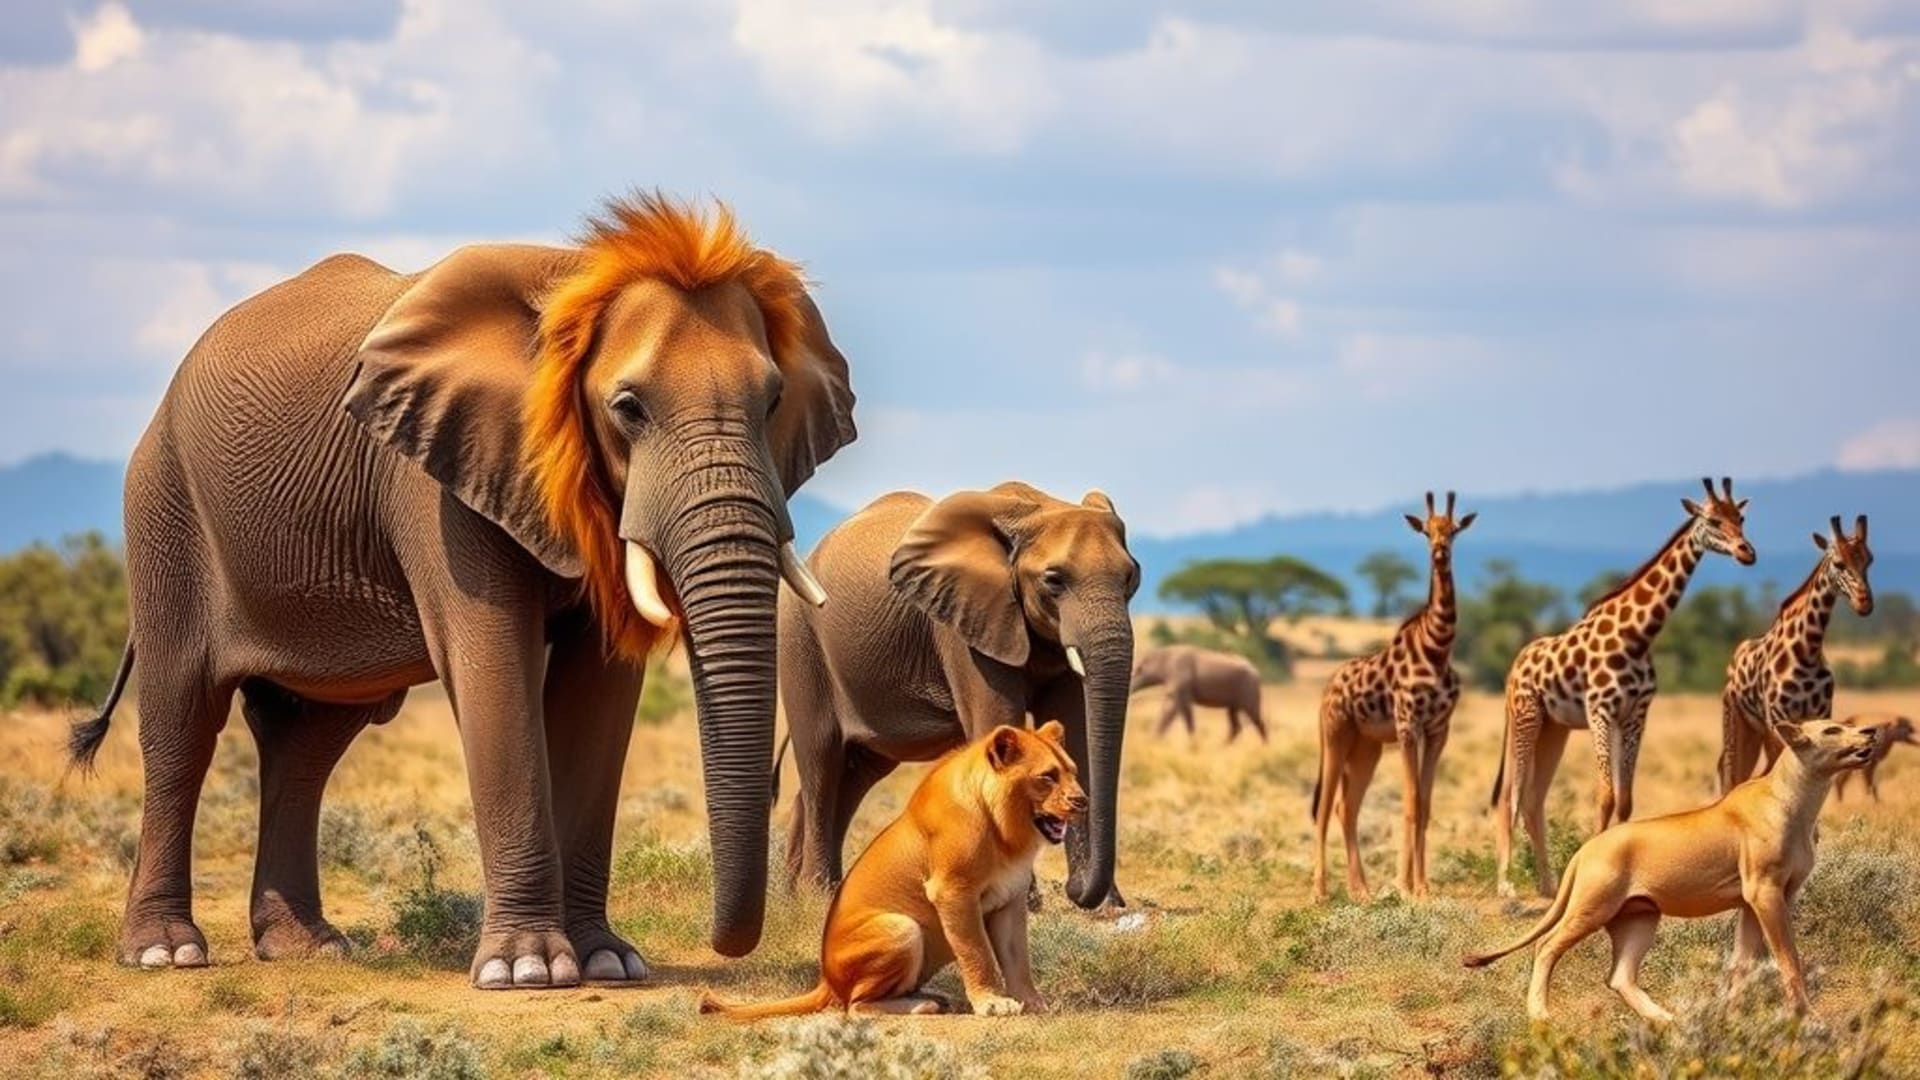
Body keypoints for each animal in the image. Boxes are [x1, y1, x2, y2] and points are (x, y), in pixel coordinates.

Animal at [700, 722, 1086, 1018]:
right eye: (1047, 777)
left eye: (1073, 772)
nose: (1082, 800)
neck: (1008, 834)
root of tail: (826, 980)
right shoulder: (953, 892)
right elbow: (977, 952)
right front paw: (992, 1003)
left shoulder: (1010, 899)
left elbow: (1017, 957)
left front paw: (1032, 1003)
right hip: (902, 927)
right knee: (857, 1005)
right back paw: (923, 1005)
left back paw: (931, 996)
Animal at [1464, 717, 1881, 1022]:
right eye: (1830, 730)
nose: (1870, 732)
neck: (1803, 797)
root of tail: (1584, 850)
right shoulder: (1765, 891)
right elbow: (1788, 958)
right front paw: (1808, 1017)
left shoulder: (1759, 899)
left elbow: (1742, 963)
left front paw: (1731, 1018)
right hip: (1592, 906)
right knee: (1547, 946)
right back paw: (1540, 1014)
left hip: (1639, 917)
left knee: (1620, 977)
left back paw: (1666, 1020)